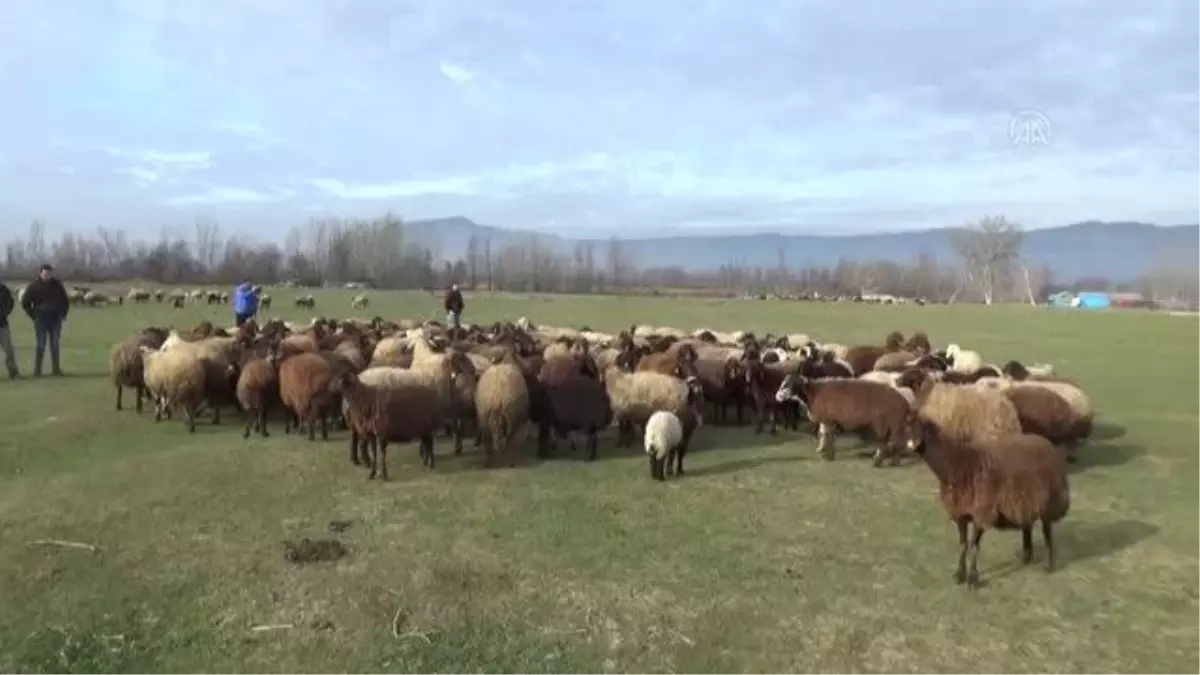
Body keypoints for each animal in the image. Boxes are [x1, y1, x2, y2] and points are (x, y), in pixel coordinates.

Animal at [772, 369, 912, 466]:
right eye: (783, 383)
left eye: (790, 384)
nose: (777, 397)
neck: (814, 393)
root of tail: (903, 401)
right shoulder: (828, 419)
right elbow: (824, 435)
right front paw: (824, 452)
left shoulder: (828, 419)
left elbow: (827, 436)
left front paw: (827, 455)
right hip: (896, 424)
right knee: (896, 442)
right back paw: (894, 461)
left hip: (886, 422)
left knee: (885, 441)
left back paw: (878, 462)